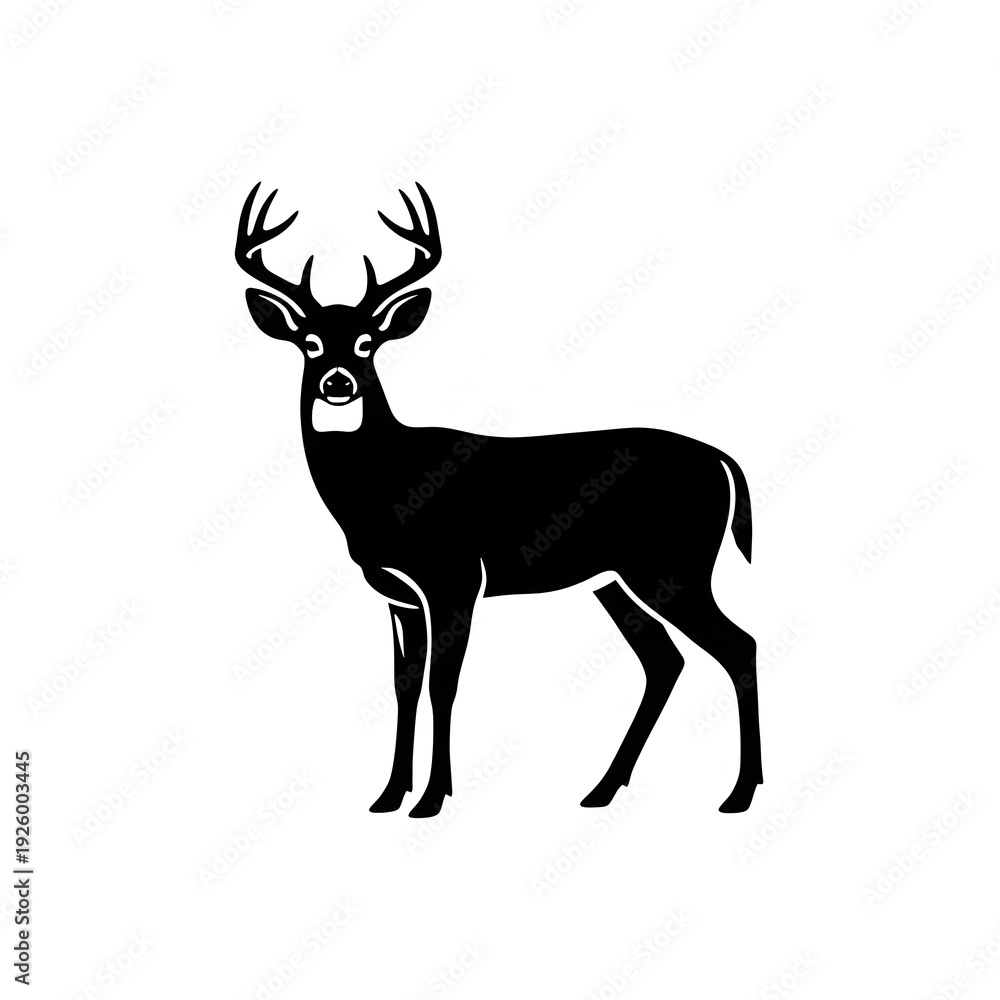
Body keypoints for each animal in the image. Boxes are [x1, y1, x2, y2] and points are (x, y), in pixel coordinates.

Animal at [235, 182, 762, 819]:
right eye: (309, 342)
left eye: (367, 342)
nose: (339, 382)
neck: (385, 488)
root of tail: (721, 460)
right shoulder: (398, 595)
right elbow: (402, 685)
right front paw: (388, 795)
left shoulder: (454, 575)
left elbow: (443, 684)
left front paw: (432, 798)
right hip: (617, 578)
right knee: (665, 660)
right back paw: (602, 789)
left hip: (673, 562)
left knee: (738, 646)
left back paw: (739, 793)